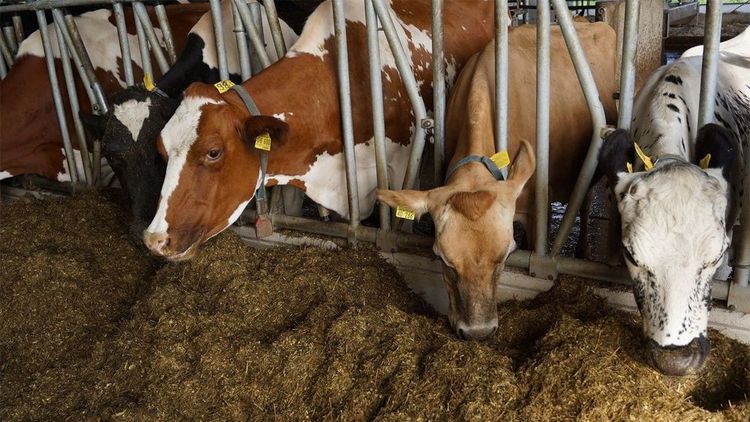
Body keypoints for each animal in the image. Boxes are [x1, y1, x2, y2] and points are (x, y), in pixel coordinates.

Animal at [376, 23, 618, 340]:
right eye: (444, 261)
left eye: (504, 258)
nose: (477, 332)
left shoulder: (534, 210)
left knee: (587, 200)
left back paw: (584, 250)